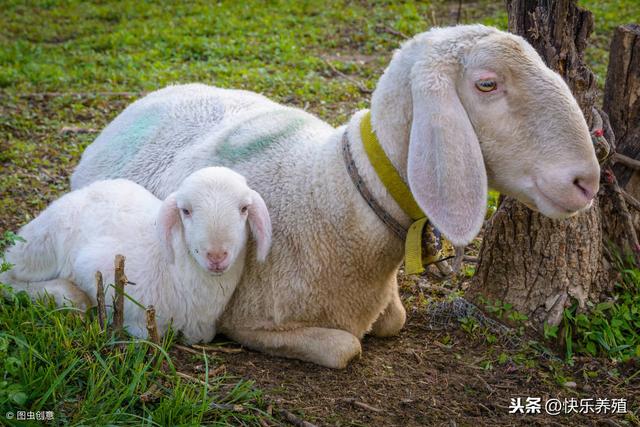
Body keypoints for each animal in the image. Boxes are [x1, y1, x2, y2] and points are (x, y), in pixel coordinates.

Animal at [0, 167, 272, 344]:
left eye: (244, 209)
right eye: (185, 211)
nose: (216, 256)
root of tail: (87, 188)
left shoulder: (201, 330)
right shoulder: (93, 265)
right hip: (40, 244)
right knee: (9, 278)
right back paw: (68, 296)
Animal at [70, 25, 600, 370]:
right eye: (487, 83)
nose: (587, 182)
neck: (332, 195)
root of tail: (147, 97)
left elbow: (393, 320)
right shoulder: (252, 317)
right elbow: (346, 347)